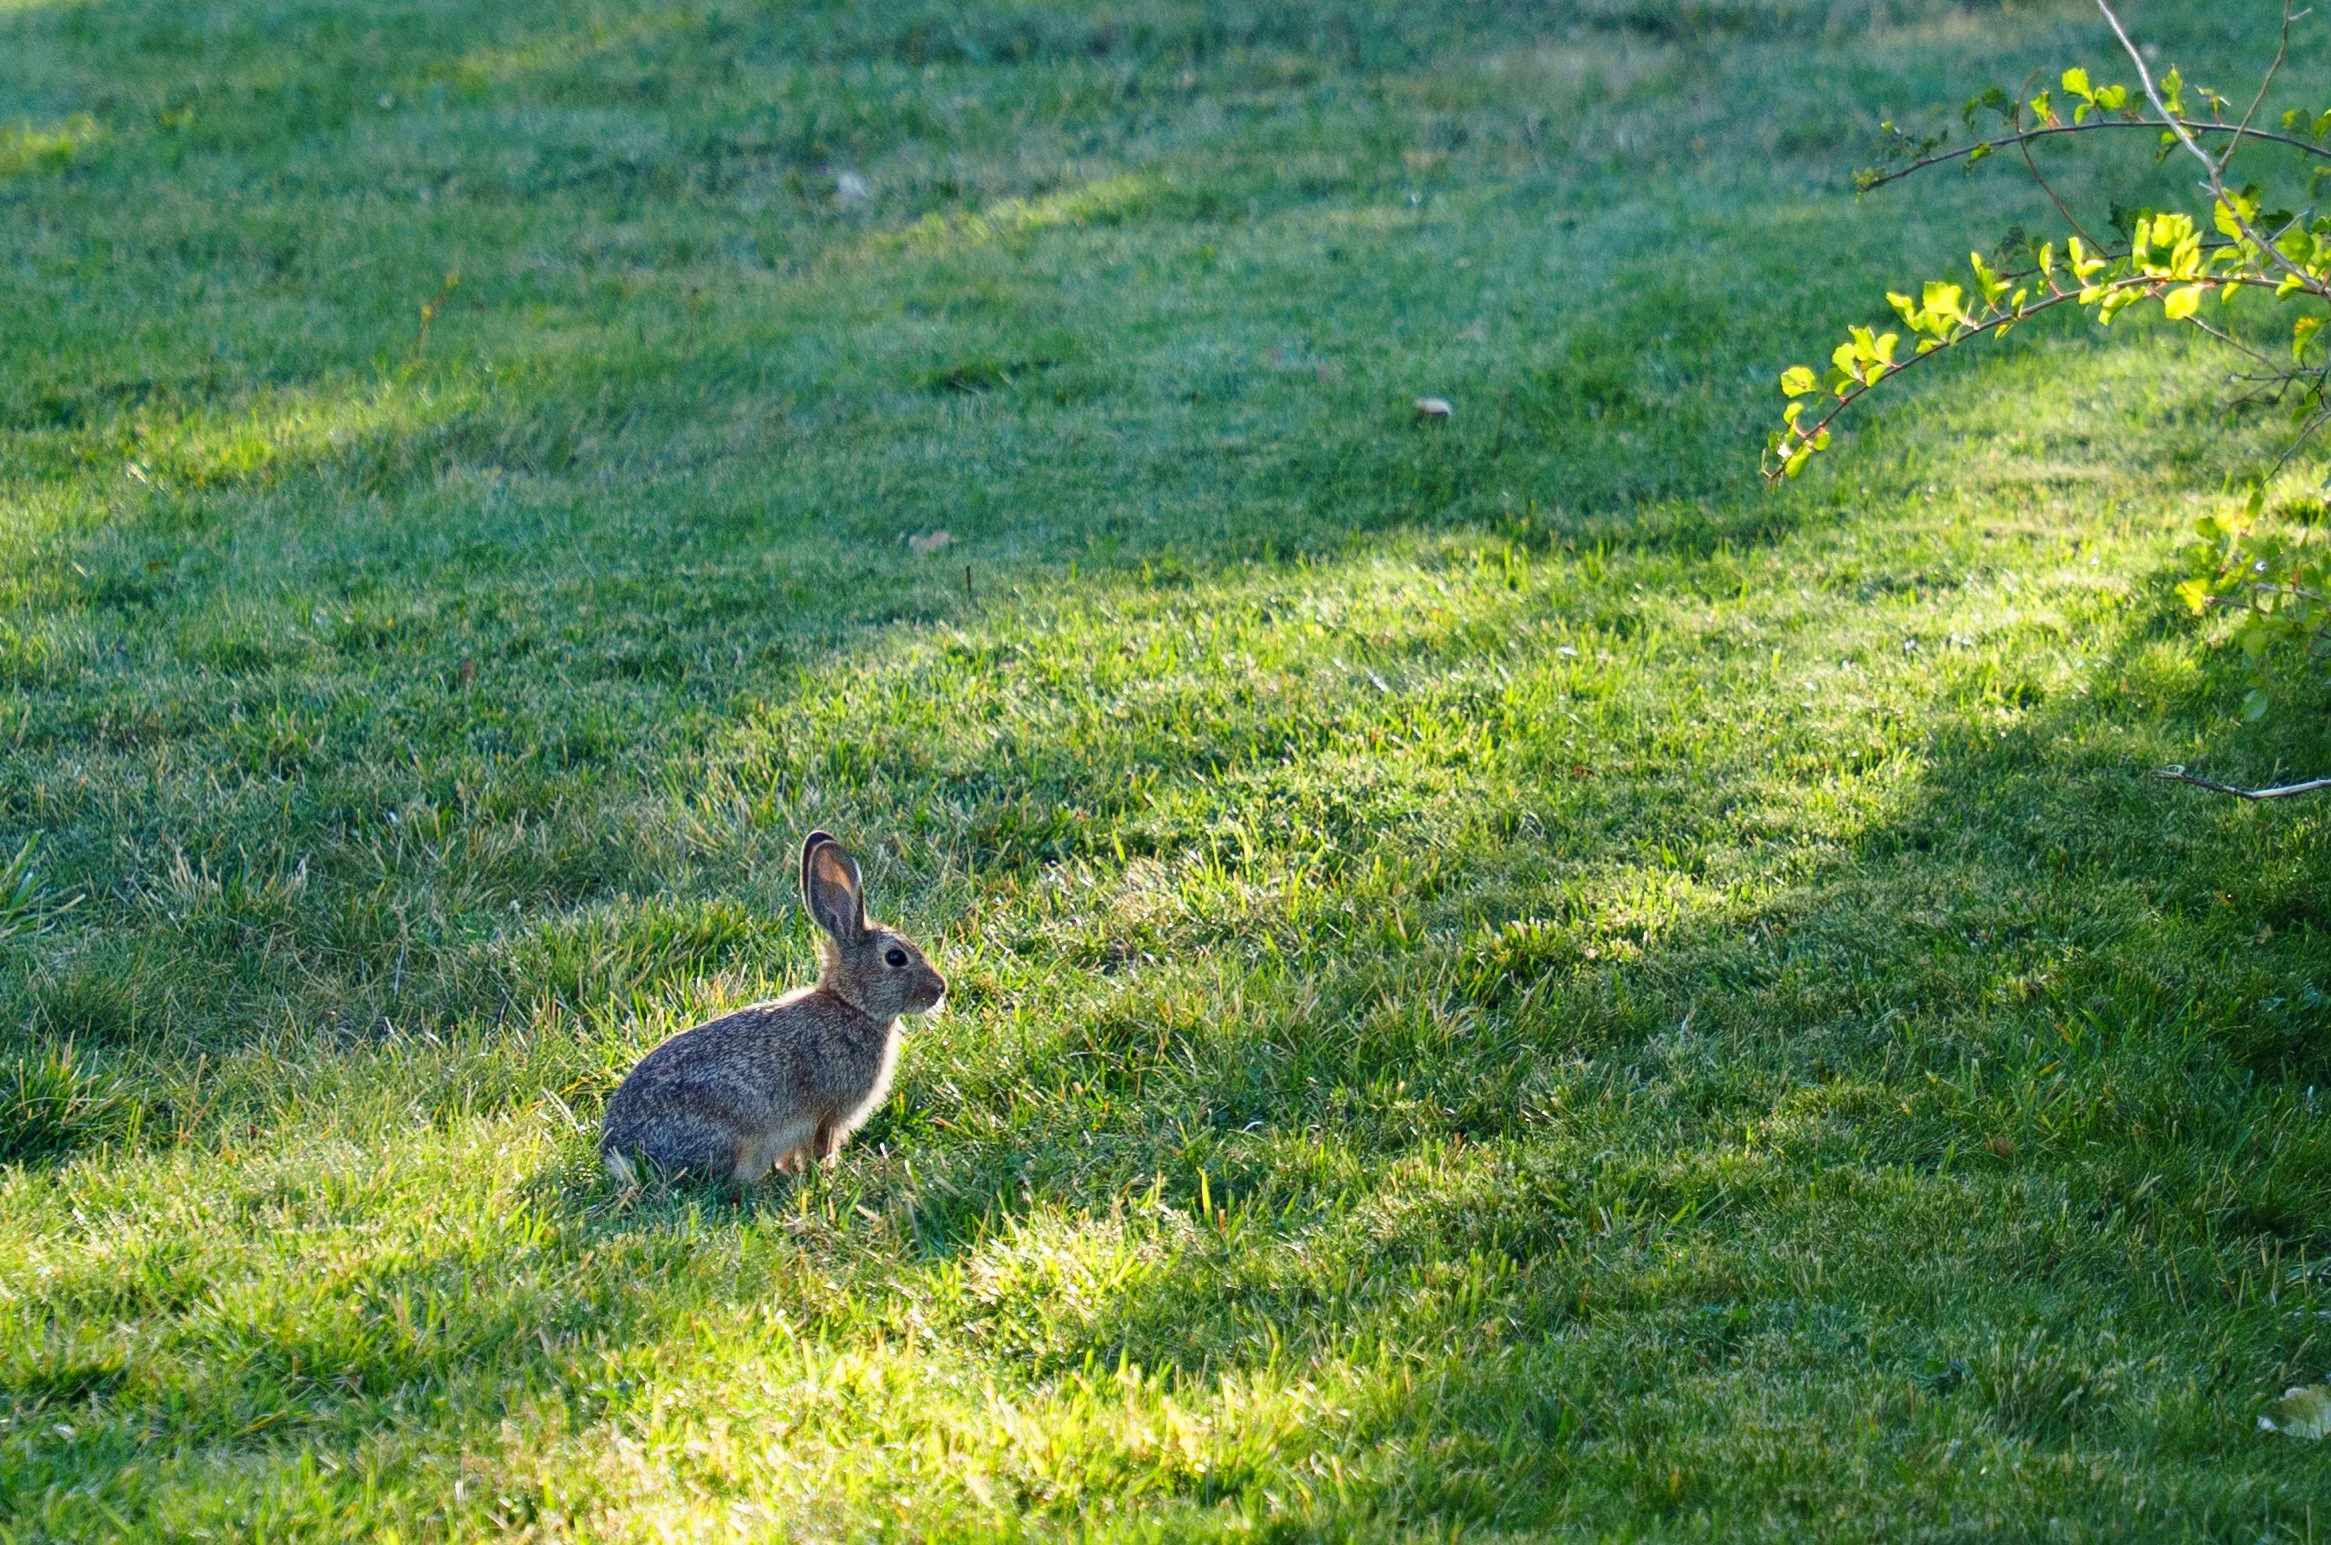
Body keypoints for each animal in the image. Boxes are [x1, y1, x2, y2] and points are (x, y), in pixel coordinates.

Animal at [600, 830, 946, 1188]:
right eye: (895, 957)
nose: (940, 988)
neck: (850, 1005)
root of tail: (620, 1156)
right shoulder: (828, 1114)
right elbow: (822, 1146)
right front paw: (826, 1176)